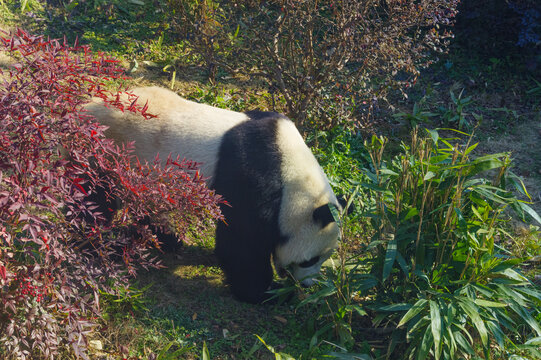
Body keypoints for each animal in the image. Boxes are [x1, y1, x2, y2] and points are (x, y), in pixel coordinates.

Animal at [87, 87, 342, 304]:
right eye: (311, 259)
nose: (308, 284)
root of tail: (86, 108)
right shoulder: (252, 178)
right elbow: (242, 242)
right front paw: (268, 293)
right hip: (107, 154)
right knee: (96, 201)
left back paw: (166, 239)